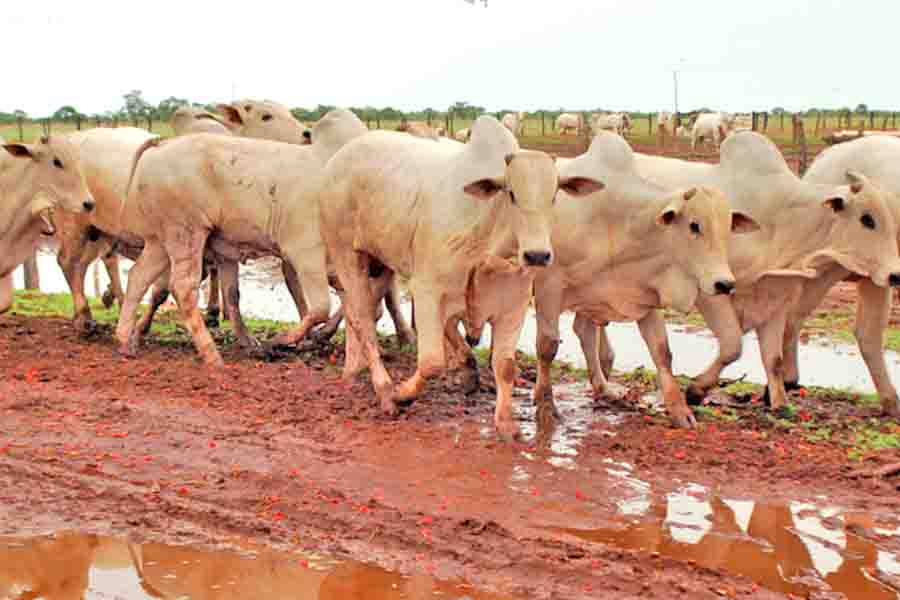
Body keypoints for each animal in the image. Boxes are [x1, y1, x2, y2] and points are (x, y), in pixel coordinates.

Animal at [320, 115, 600, 438]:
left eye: (554, 195)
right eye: (512, 193)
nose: (537, 255)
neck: (490, 242)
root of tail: (338, 159)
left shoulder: (513, 304)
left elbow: (505, 365)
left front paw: (506, 423)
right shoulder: (427, 290)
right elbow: (432, 362)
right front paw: (403, 394)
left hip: (380, 262)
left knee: (365, 313)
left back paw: (352, 372)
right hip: (346, 254)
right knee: (363, 319)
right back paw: (385, 390)